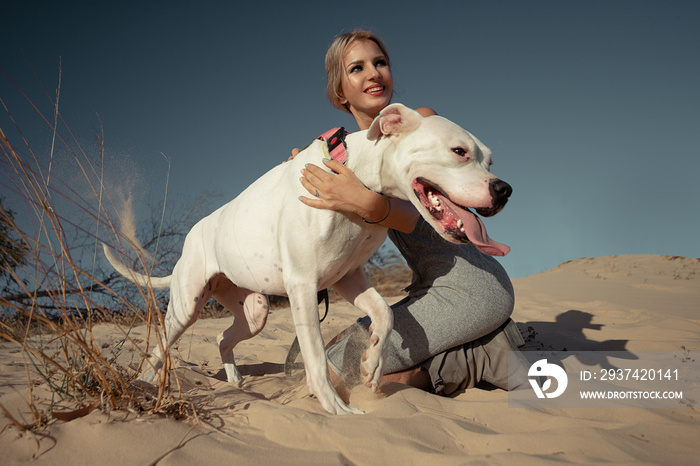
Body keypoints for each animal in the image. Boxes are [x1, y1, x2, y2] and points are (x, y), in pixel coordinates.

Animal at [102, 104, 508, 414]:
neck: (354, 173)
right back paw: (145, 382)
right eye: (459, 151)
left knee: (221, 336)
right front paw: (336, 408)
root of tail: (189, 239)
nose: (504, 189)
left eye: (490, 160)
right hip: (187, 304)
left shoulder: (348, 278)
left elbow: (385, 313)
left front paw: (373, 363)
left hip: (253, 312)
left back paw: (233, 380)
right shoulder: (303, 286)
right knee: (161, 344)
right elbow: (315, 357)